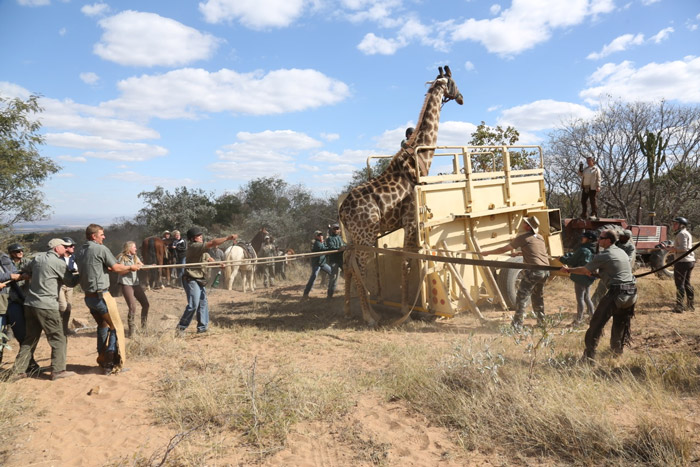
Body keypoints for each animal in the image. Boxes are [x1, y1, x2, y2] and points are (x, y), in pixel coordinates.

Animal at [340, 66, 464, 328]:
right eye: (454, 81)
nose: (461, 98)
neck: (421, 158)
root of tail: (341, 210)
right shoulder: (409, 220)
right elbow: (407, 262)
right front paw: (407, 310)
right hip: (366, 234)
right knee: (360, 266)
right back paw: (369, 316)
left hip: (353, 236)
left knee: (347, 263)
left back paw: (348, 310)